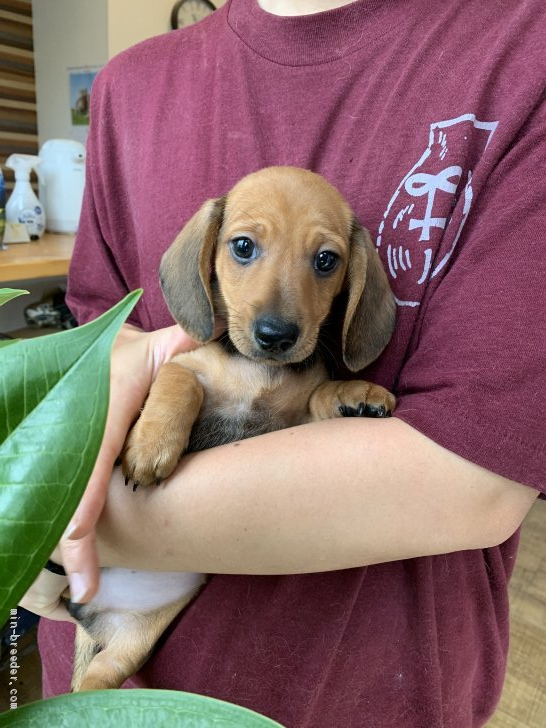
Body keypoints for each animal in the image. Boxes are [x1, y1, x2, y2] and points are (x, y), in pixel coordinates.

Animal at [68, 166, 396, 692]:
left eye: (326, 260)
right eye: (242, 247)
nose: (276, 336)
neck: (255, 371)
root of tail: (88, 614)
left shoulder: (284, 424)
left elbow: (317, 397)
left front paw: (354, 392)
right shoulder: (182, 368)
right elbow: (180, 379)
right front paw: (152, 443)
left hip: (131, 644)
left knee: (101, 676)